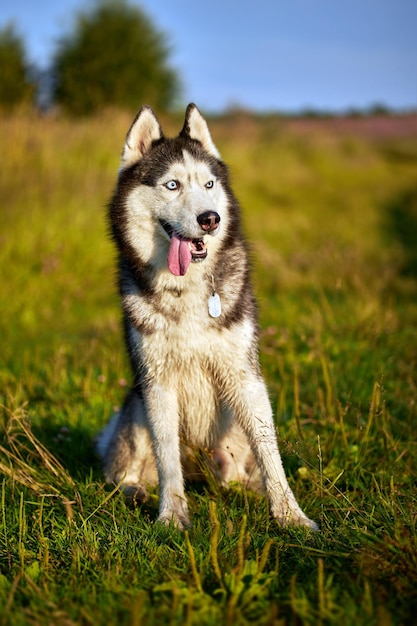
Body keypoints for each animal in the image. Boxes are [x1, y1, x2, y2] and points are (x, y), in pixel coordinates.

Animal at [96, 105, 316, 528]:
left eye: (209, 184)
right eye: (172, 185)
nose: (210, 218)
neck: (186, 288)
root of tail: (200, 467)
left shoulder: (245, 377)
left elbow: (270, 454)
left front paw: (289, 514)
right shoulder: (157, 382)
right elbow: (166, 458)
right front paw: (171, 515)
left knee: (237, 473)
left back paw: (247, 488)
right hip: (136, 407)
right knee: (123, 472)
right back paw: (135, 491)